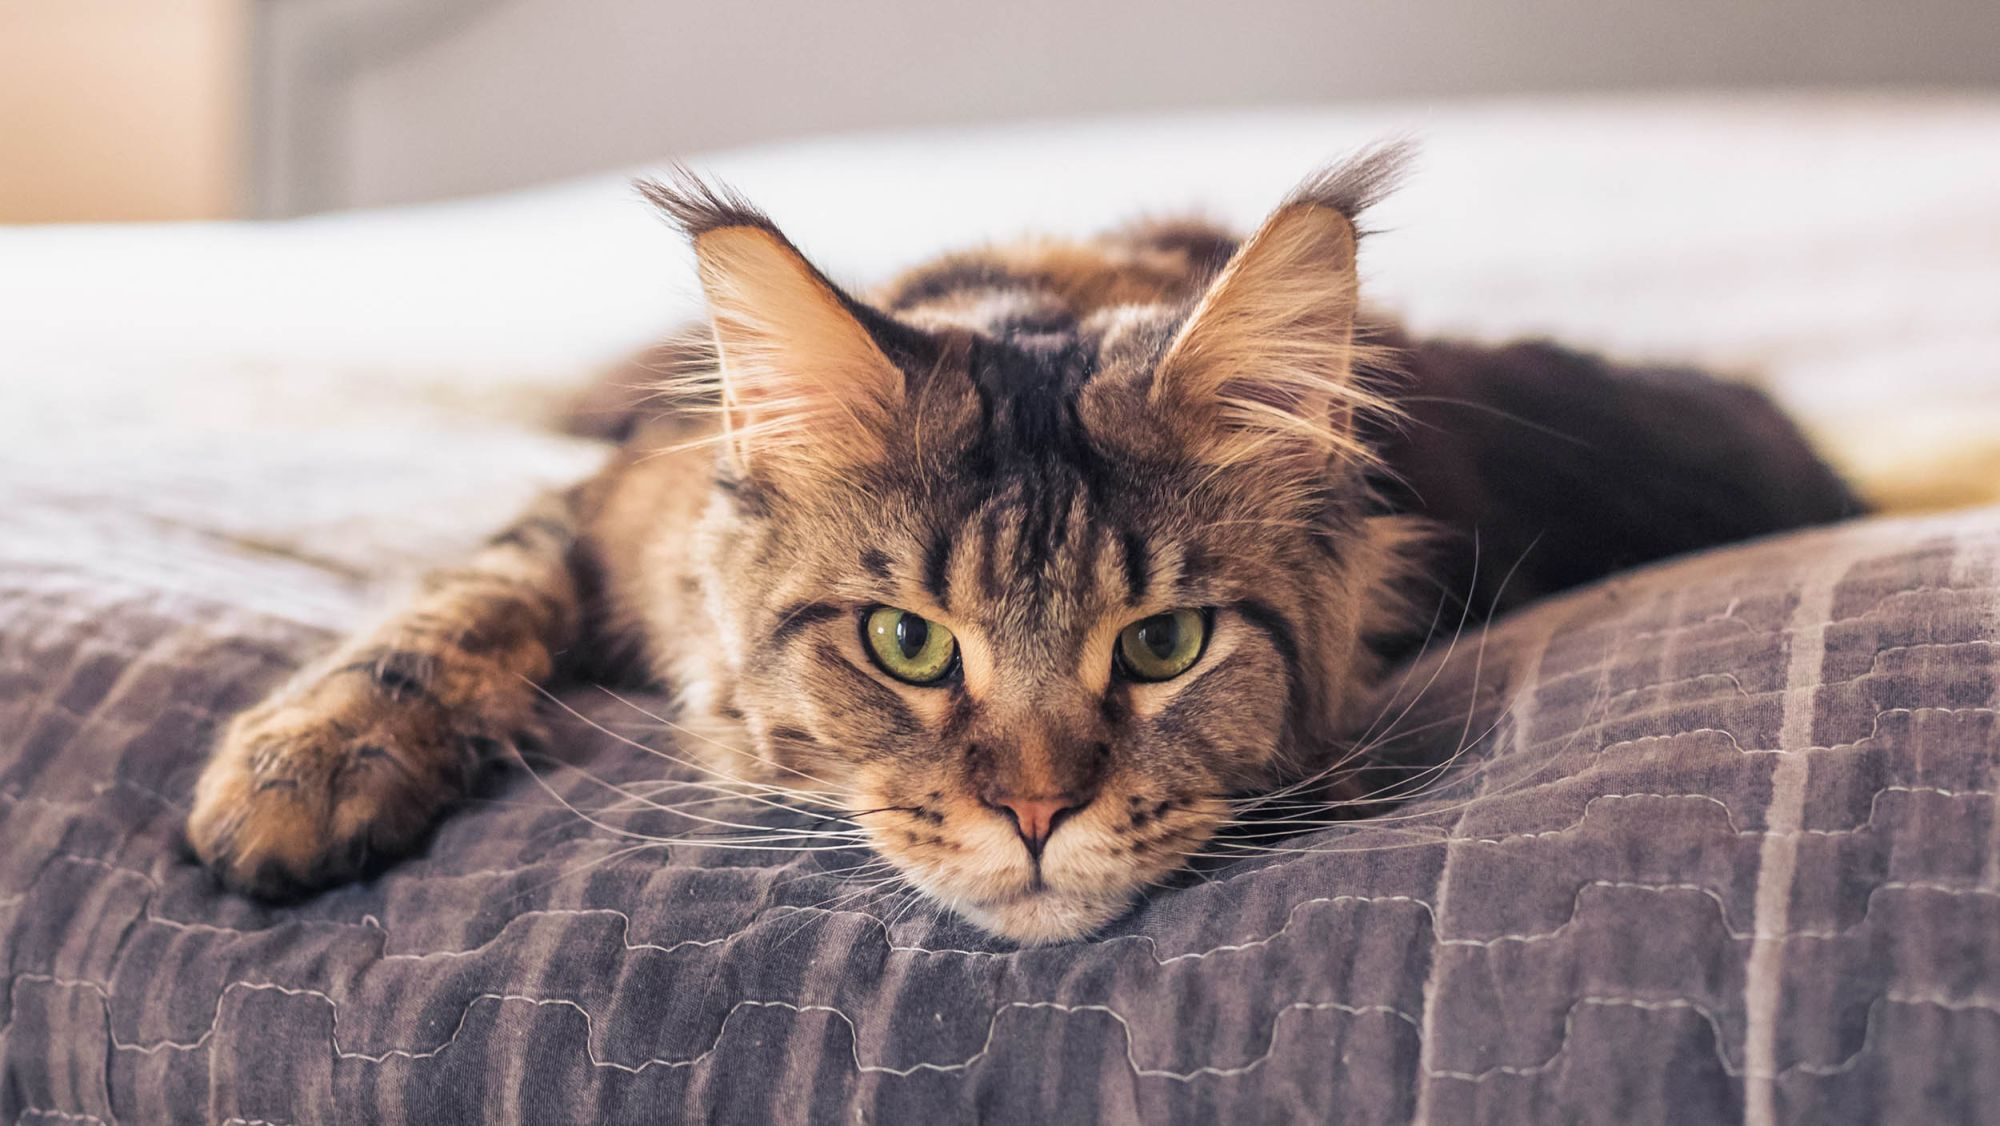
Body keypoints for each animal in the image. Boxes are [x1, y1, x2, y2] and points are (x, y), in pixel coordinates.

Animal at [188, 148, 1856, 944]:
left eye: (1165, 642)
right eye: (906, 641)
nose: (1042, 814)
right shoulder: (607, 521)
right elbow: (459, 601)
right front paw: (302, 765)